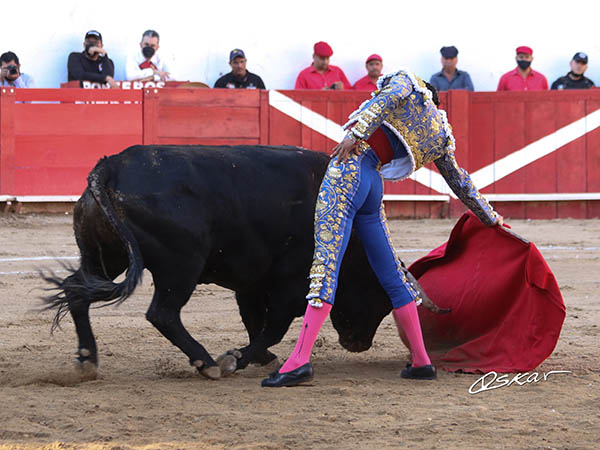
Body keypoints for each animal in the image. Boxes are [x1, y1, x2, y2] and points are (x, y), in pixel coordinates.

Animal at [43, 145, 446, 380]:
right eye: (379, 299)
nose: (358, 344)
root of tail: (110, 167)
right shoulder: (288, 284)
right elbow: (274, 326)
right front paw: (236, 358)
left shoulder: (251, 283)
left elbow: (256, 323)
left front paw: (259, 356)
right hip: (181, 266)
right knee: (163, 313)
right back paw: (206, 362)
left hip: (104, 257)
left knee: (77, 291)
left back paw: (87, 358)